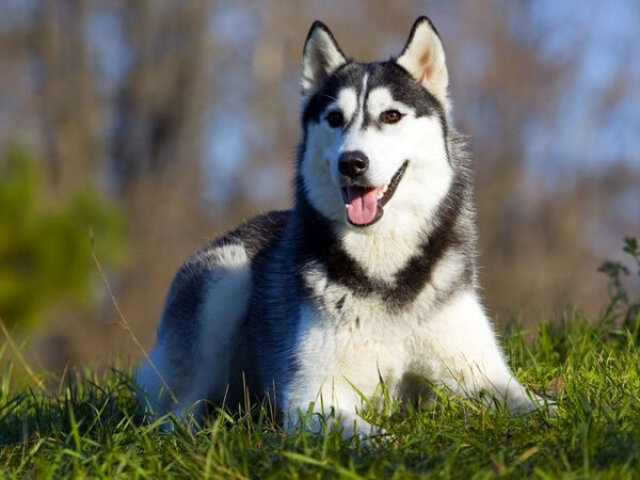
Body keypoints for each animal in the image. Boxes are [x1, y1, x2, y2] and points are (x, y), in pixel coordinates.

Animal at [136, 16, 552, 436]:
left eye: (391, 116)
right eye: (335, 118)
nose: (351, 162)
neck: (384, 266)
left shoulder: (484, 375)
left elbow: (541, 406)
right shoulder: (311, 399)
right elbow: (378, 438)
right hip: (225, 278)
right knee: (173, 412)